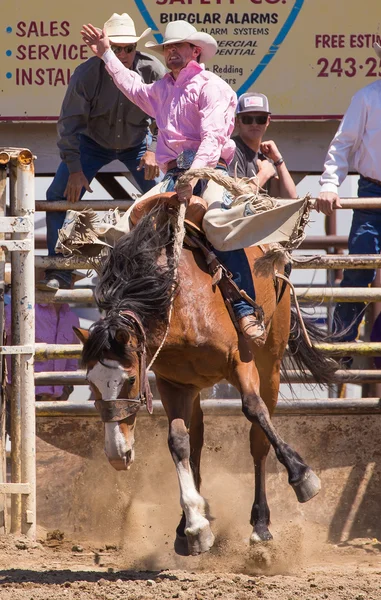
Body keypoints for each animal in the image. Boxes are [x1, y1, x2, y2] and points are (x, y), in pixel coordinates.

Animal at [75, 202, 336, 556]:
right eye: (91, 384)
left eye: (129, 380)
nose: (117, 456)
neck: (179, 305)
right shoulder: (173, 385)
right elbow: (178, 442)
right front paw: (195, 526)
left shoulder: (240, 362)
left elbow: (254, 410)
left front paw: (303, 476)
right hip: (196, 389)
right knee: (195, 442)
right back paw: (187, 523)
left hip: (270, 363)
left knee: (258, 439)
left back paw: (261, 525)